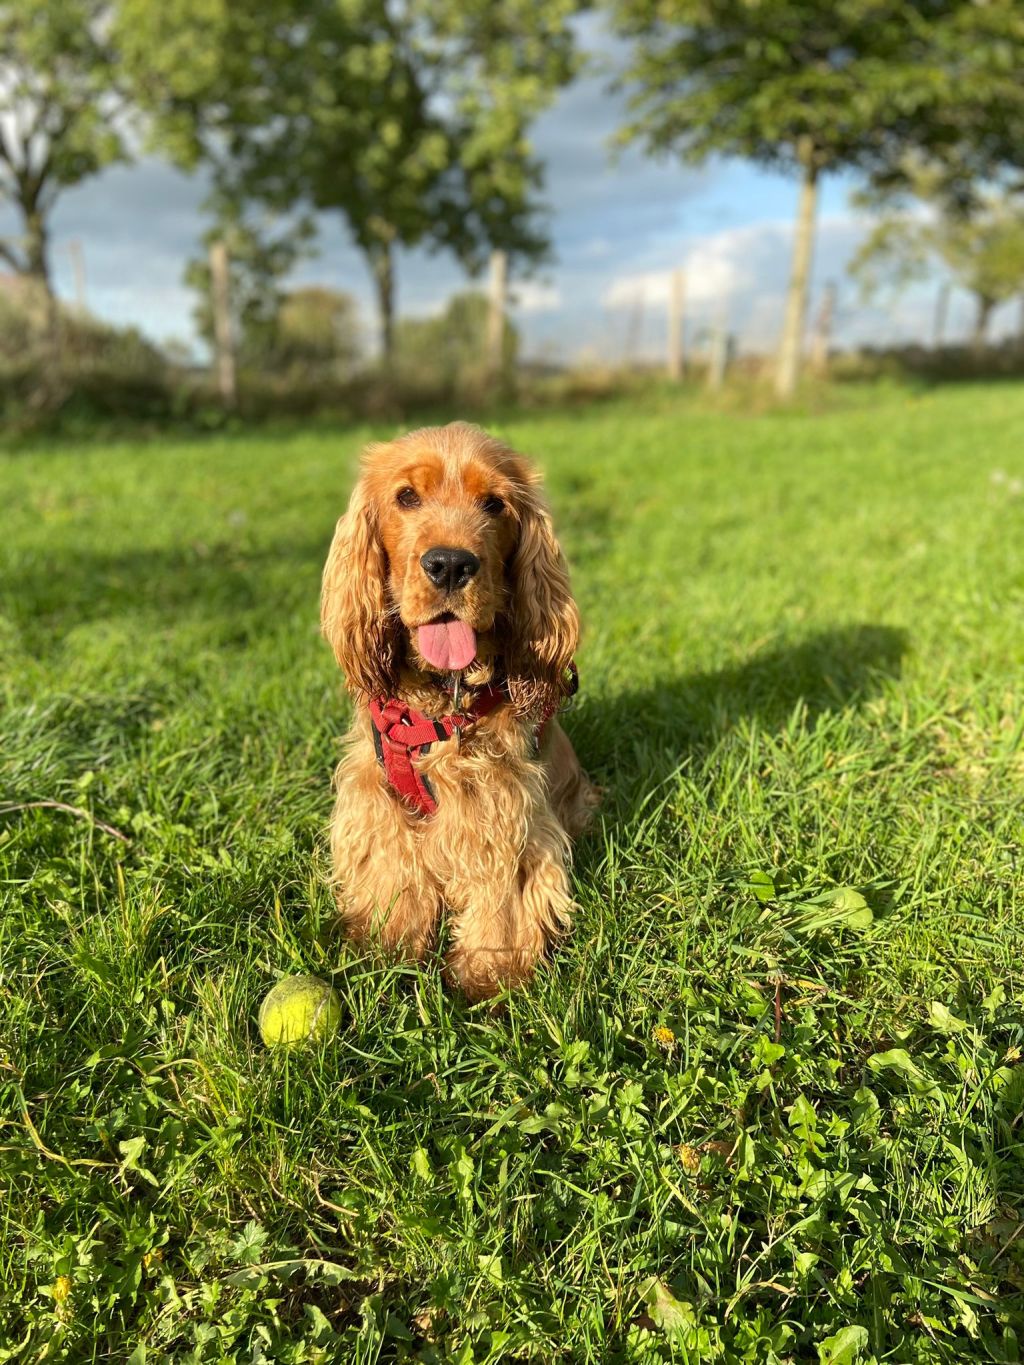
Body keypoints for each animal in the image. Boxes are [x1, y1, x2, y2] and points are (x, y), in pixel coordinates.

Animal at [320, 421, 599, 999]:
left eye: (494, 504)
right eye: (406, 496)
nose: (450, 564)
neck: (440, 705)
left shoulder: (500, 805)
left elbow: (500, 896)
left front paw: (491, 977)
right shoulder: (377, 795)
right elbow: (394, 870)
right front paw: (387, 950)